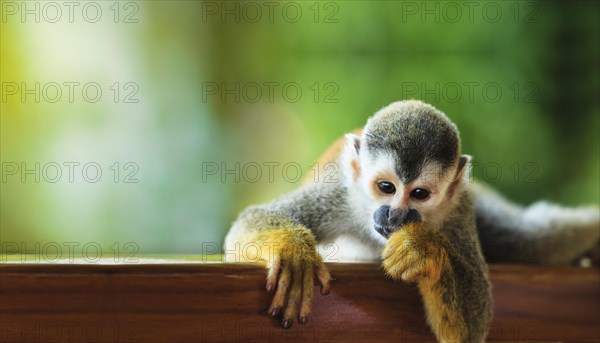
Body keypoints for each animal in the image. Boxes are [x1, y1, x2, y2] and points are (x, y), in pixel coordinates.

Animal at [225, 101, 600, 342]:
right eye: (386, 188)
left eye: (419, 194)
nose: (395, 215)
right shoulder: (339, 196)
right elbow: (251, 221)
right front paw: (293, 254)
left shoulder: (457, 209)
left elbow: (471, 326)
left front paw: (424, 250)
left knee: (531, 240)